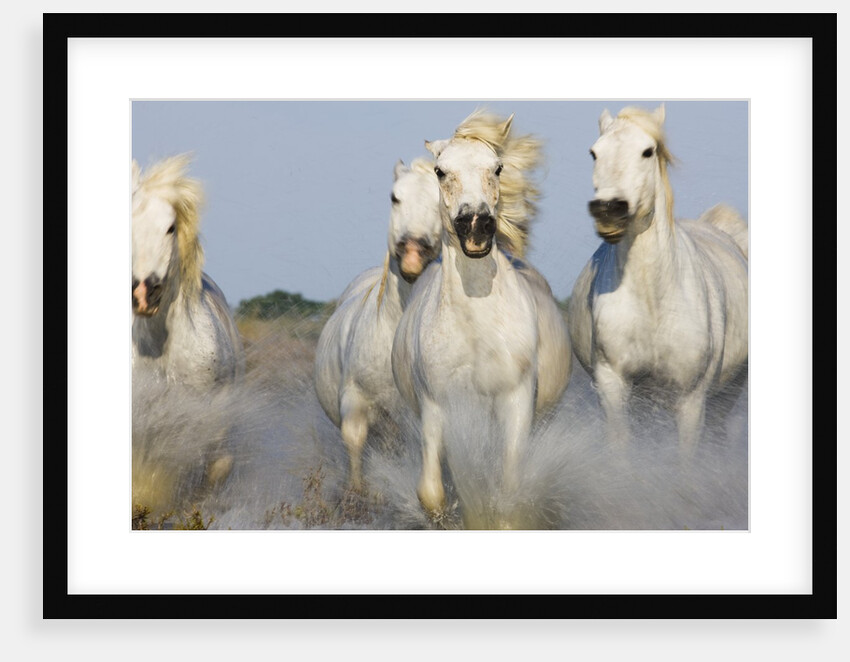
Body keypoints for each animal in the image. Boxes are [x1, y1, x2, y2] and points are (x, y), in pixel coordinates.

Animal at [313, 157, 442, 491]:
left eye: (441, 202)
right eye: (394, 197)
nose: (412, 252)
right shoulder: (356, 401)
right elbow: (355, 440)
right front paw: (358, 494)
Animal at [391, 110, 572, 526]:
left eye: (497, 167)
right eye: (441, 170)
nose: (475, 225)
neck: (477, 331)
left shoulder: (515, 401)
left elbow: (508, 491)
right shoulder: (439, 407)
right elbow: (434, 494)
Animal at [567, 105, 748, 456]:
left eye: (647, 151)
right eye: (594, 152)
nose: (608, 210)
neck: (653, 302)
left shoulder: (691, 400)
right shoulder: (614, 386)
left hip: (728, 393)